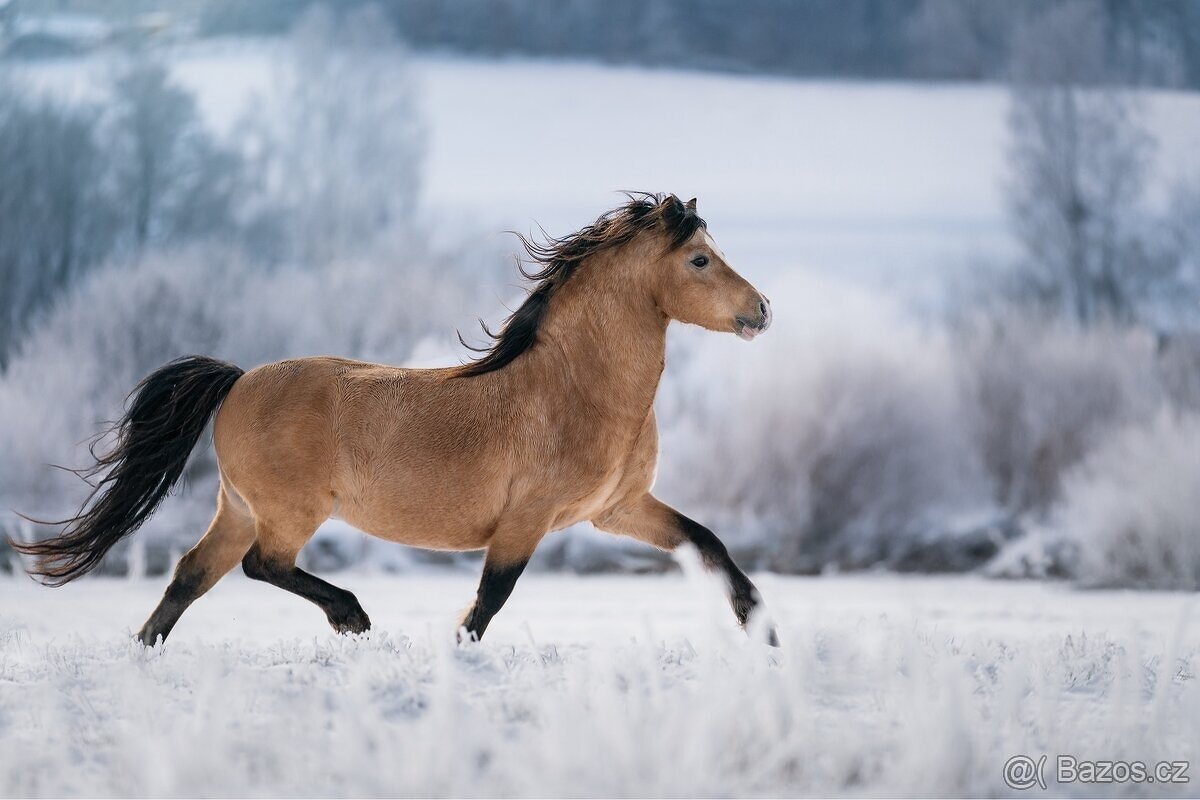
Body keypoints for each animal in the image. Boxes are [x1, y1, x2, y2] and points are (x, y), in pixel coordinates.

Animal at [12, 193, 777, 646]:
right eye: (700, 259)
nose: (762, 310)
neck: (577, 389)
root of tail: (237, 382)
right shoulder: (526, 520)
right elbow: (490, 600)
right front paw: (454, 657)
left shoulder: (617, 510)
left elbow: (707, 541)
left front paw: (760, 628)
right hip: (287, 512)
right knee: (263, 565)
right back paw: (350, 615)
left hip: (237, 508)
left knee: (190, 576)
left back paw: (144, 655)